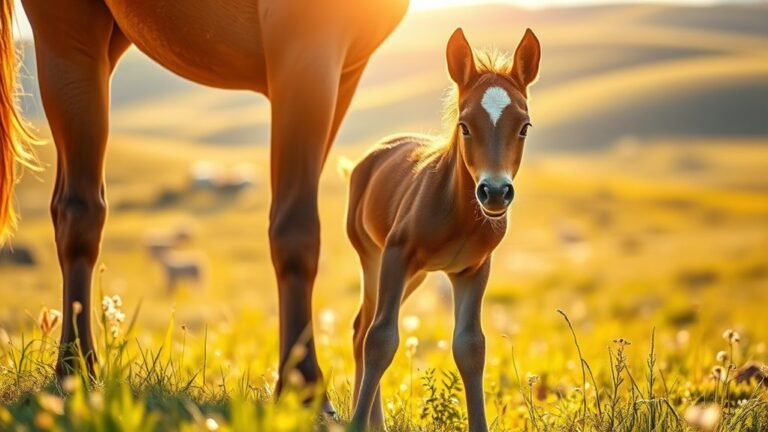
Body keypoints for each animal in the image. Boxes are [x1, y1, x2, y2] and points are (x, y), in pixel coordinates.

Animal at [0, 0, 409, 413]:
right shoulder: (306, 48)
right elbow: (296, 230)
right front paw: (305, 390)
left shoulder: (342, 73)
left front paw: (294, 386)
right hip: (69, 32)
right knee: (79, 212)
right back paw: (75, 371)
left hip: (107, 43)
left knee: (69, 205)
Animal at [344, 28, 541, 431]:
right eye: (464, 126)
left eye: (524, 127)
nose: (494, 192)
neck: (458, 215)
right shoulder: (396, 254)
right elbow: (380, 339)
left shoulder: (474, 269)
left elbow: (471, 347)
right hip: (374, 258)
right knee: (364, 329)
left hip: (416, 275)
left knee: (362, 326)